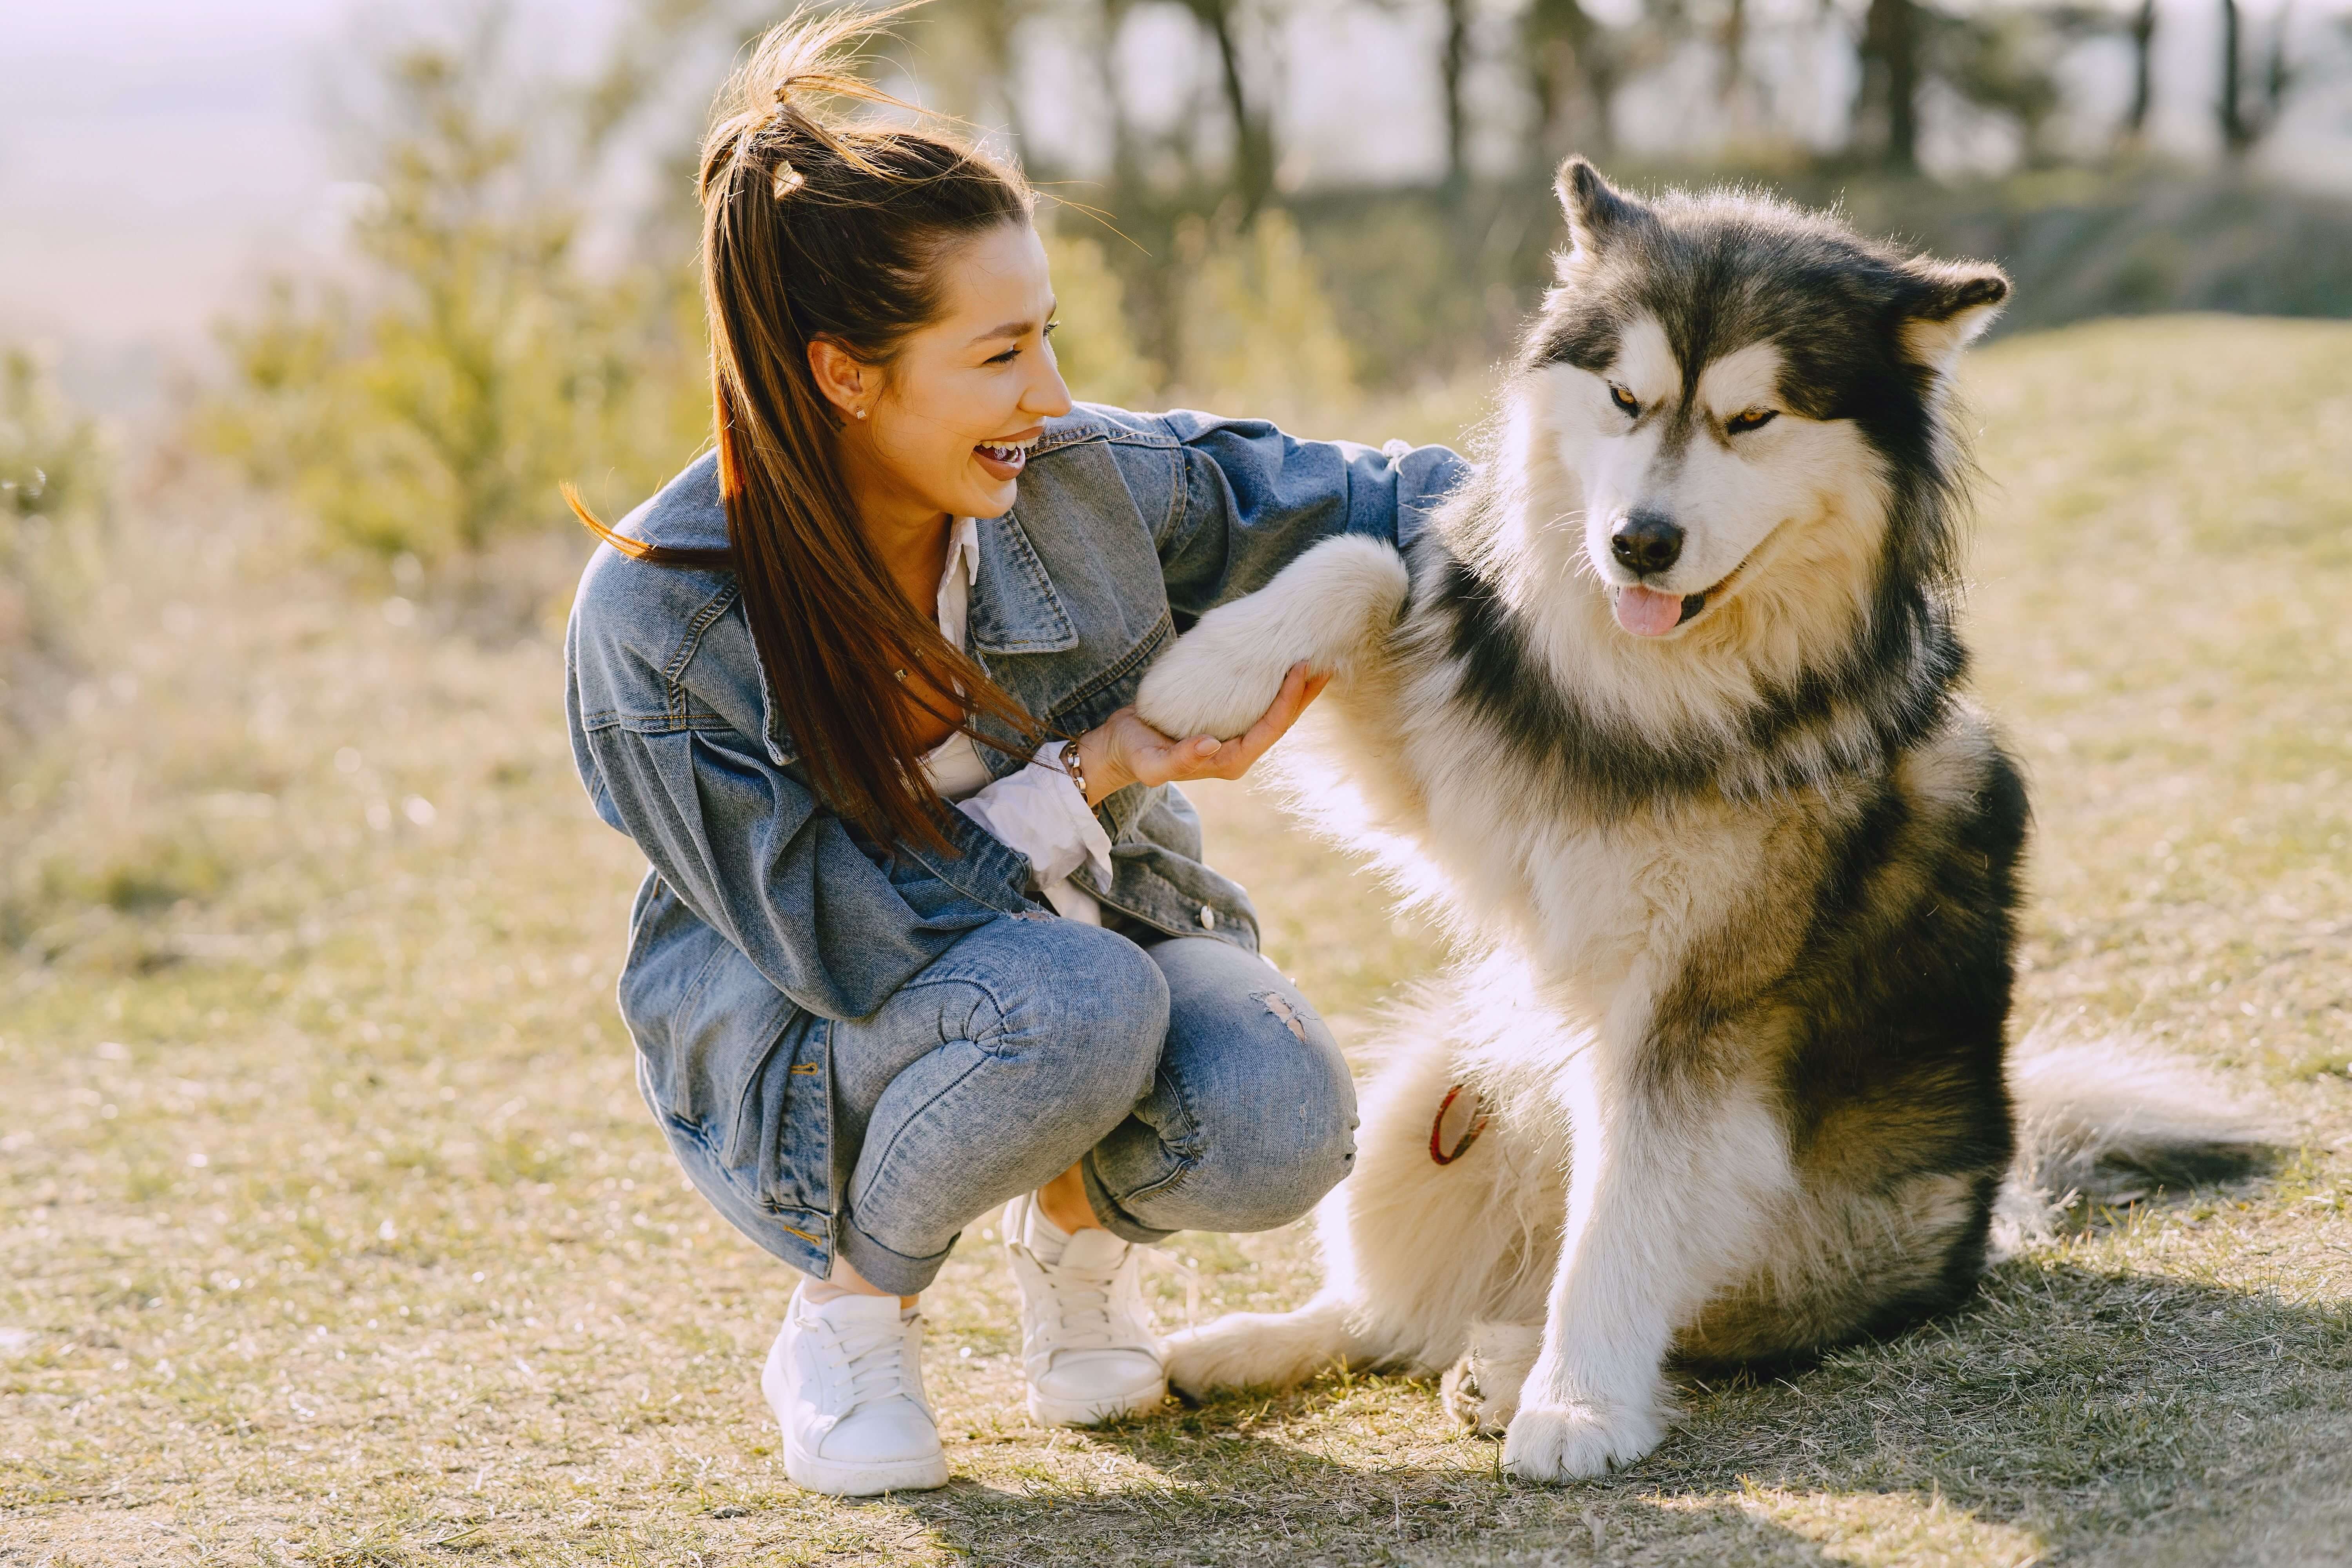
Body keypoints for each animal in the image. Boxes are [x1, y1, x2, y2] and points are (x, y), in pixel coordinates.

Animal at [1138, 165, 2258, 1495]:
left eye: (1752, 419)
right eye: (1626, 400)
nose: (1639, 541)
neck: (1662, 694)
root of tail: (2004, 1196)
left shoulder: (1692, 1018)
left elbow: (1624, 1228)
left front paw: (1575, 1407)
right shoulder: (1458, 780)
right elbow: (1367, 560)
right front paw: (1206, 675)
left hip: (1789, 1226)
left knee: (1635, 1310)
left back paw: (1510, 1367)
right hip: (1426, 1106)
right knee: (1389, 1318)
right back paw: (1243, 1348)